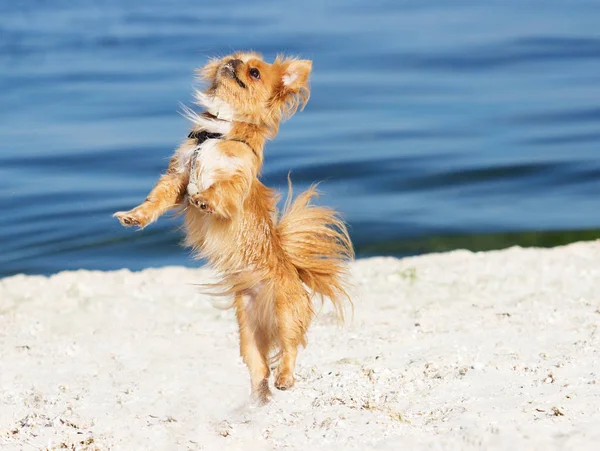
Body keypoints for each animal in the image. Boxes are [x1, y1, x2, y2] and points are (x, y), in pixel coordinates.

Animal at [113, 51, 352, 404]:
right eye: (234, 58)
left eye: (254, 72)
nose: (233, 61)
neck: (216, 133)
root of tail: (292, 270)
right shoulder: (176, 178)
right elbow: (154, 201)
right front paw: (135, 216)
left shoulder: (234, 183)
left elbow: (220, 190)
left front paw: (204, 198)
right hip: (248, 334)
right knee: (260, 366)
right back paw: (257, 397)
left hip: (286, 313)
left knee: (291, 348)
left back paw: (285, 379)